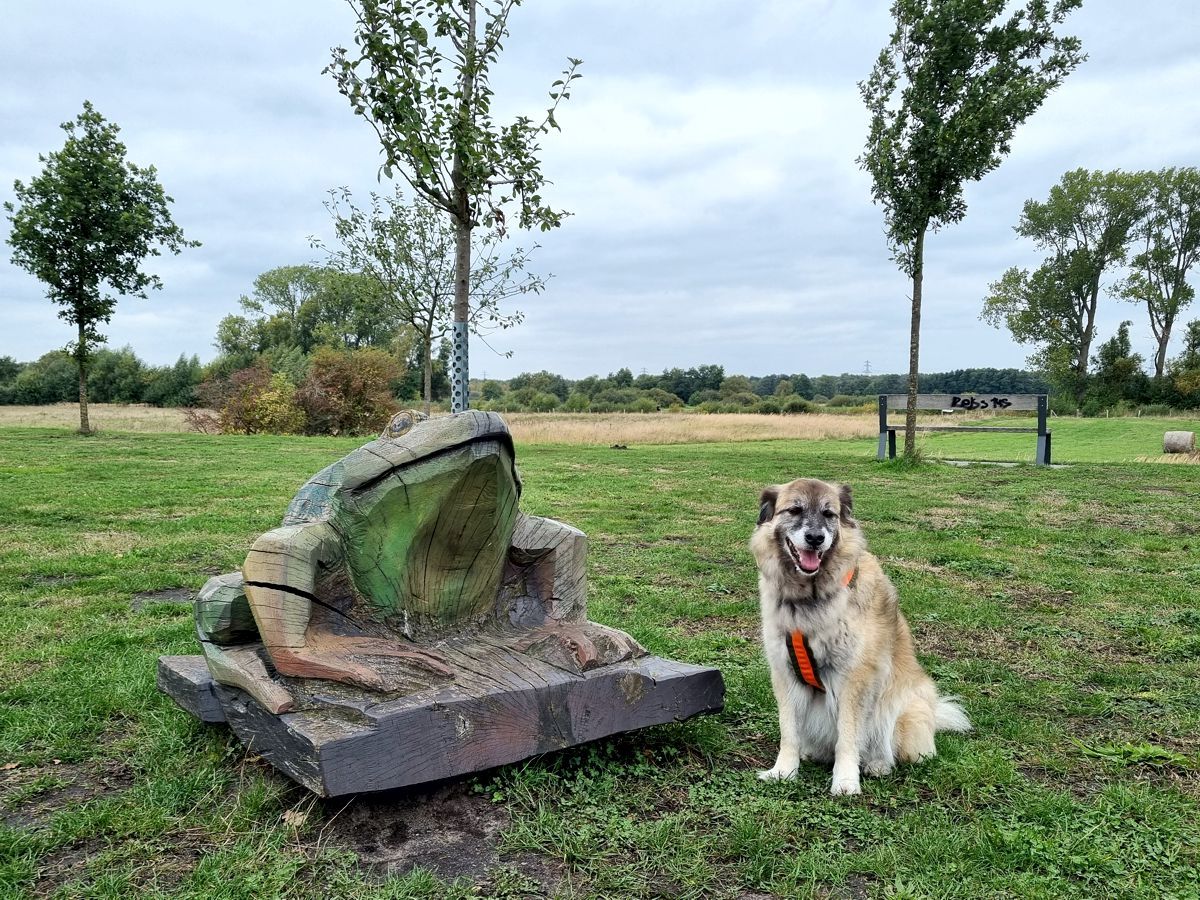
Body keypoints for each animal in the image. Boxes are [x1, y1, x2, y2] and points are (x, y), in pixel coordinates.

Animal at [753, 480, 969, 796]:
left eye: (829, 514)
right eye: (794, 510)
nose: (816, 538)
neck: (811, 598)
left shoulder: (855, 678)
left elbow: (848, 736)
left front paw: (845, 781)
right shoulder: (785, 673)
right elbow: (788, 731)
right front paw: (784, 771)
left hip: (902, 710)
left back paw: (877, 764)